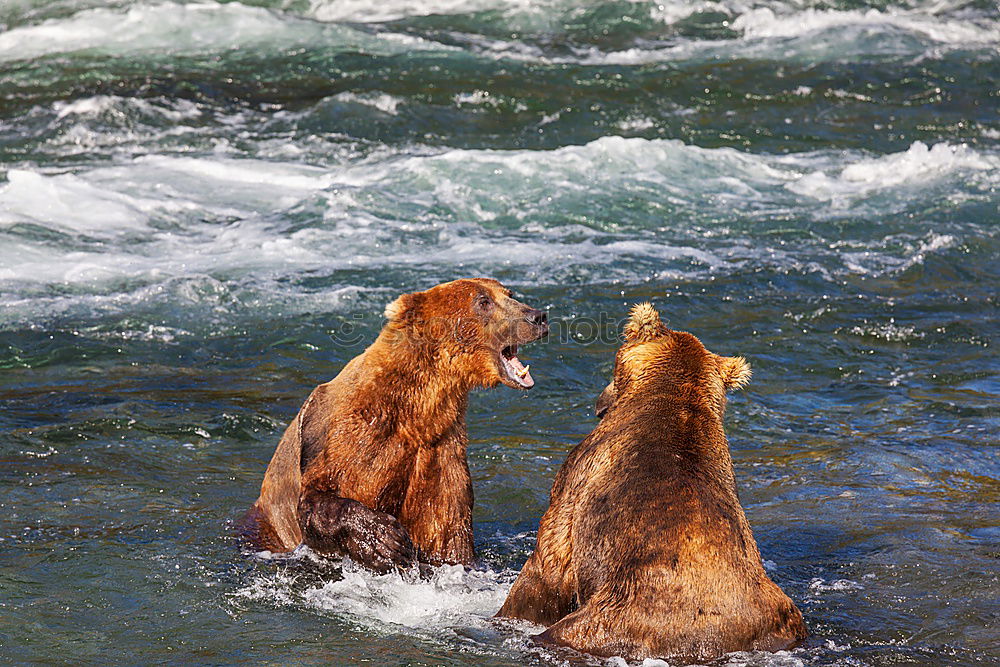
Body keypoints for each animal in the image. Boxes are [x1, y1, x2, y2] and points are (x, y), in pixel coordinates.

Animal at [238, 276, 548, 576]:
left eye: (509, 293)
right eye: (483, 301)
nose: (538, 316)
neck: (415, 409)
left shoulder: (439, 452)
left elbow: (447, 532)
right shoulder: (347, 437)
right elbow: (318, 500)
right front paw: (385, 541)